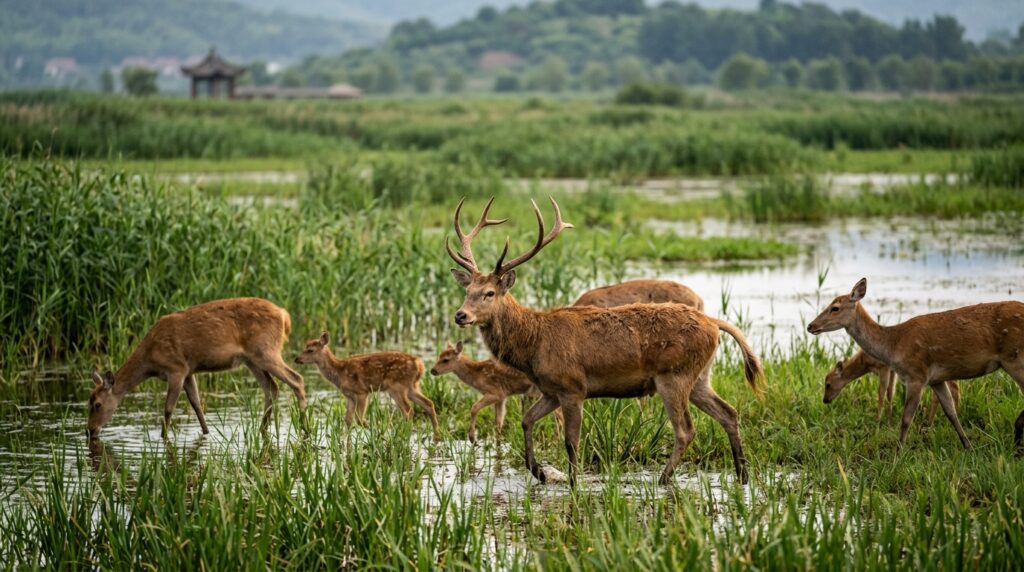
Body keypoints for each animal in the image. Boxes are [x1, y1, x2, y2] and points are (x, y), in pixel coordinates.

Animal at [87, 297, 306, 439]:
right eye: (88, 402)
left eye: (97, 404)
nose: (90, 431)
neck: (149, 360)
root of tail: (284, 316)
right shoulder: (188, 372)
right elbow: (196, 404)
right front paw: (206, 432)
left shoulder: (176, 369)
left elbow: (168, 408)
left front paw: (164, 437)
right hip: (252, 359)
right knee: (272, 387)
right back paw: (262, 429)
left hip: (266, 351)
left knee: (296, 379)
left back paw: (305, 427)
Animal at [295, 332, 440, 438]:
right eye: (305, 347)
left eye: (310, 350)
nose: (297, 359)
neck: (339, 372)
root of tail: (419, 364)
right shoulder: (350, 396)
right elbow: (347, 420)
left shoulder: (362, 392)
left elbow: (359, 419)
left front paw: (379, 432)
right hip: (411, 386)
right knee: (428, 403)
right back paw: (436, 436)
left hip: (397, 386)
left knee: (409, 411)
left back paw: (404, 435)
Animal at [429, 340, 563, 443]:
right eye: (439, 356)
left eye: (446, 360)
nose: (433, 370)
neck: (477, 374)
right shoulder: (502, 397)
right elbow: (498, 423)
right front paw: (497, 446)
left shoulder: (495, 392)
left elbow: (474, 407)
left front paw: (472, 438)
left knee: (560, 418)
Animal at [445, 196, 765, 485]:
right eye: (467, 290)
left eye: (489, 293)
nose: (460, 315)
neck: (533, 344)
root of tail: (713, 323)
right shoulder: (550, 390)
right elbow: (526, 420)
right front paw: (539, 471)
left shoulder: (573, 386)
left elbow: (571, 441)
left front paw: (573, 482)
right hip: (699, 376)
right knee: (728, 413)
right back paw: (742, 475)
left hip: (674, 374)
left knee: (685, 429)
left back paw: (664, 479)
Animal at [824, 349, 961, 423]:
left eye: (828, 384)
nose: (825, 400)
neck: (864, 361)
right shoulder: (892, 371)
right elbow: (890, 393)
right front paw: (889, 420)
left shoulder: (883, 367)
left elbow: (881, 392)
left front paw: (878, 419)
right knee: (952, 389)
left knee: (952, 389)